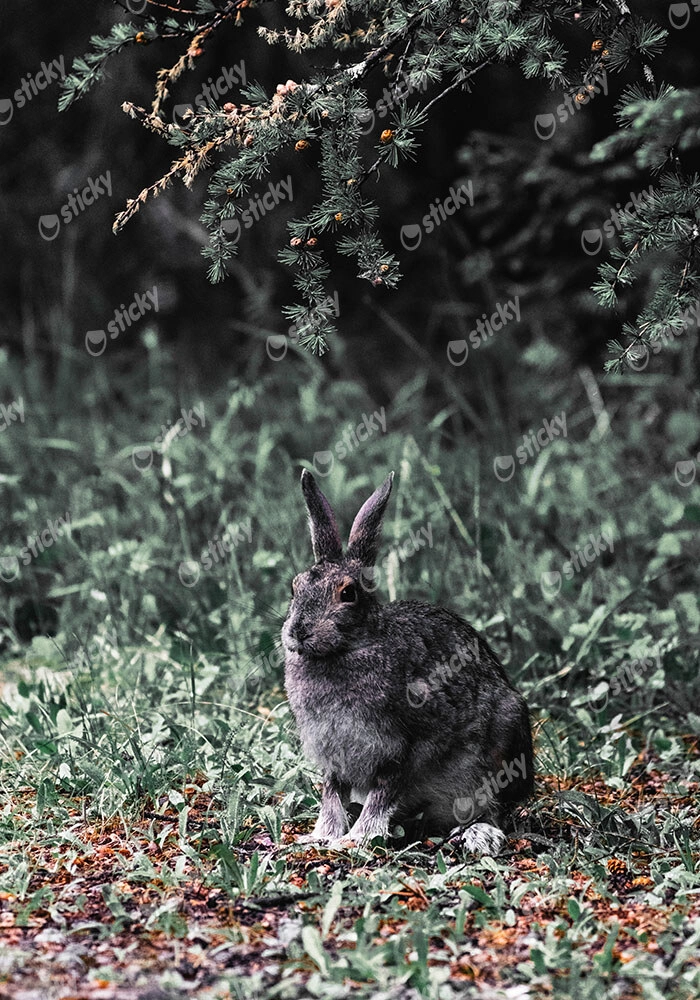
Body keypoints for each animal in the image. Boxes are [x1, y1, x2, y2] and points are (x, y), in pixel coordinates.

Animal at [282, 470, 534, 854]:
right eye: (295, 588)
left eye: (348, 594)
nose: (298, 631)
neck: (348, 649)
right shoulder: (332, 756)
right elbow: (332, 795)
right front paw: (322, 836)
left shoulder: (407, 747)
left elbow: (382, 795)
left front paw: (356, 839)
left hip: (504, 742)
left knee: (494, 808)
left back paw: (478, 834)